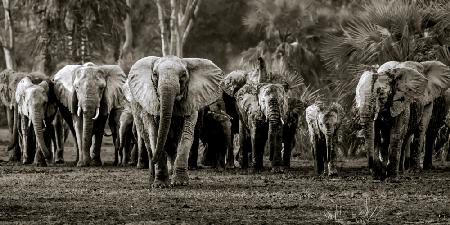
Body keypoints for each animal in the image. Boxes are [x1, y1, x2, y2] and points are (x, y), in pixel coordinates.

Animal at [126, 55, 223, 187]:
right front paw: (161, 185)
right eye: (155, 74)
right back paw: (152, 179)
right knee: (148, 142)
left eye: (183, 75)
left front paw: (180, 183)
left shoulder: (191, 100)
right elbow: (154, 133)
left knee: (172, 146)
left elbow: (186, 135)